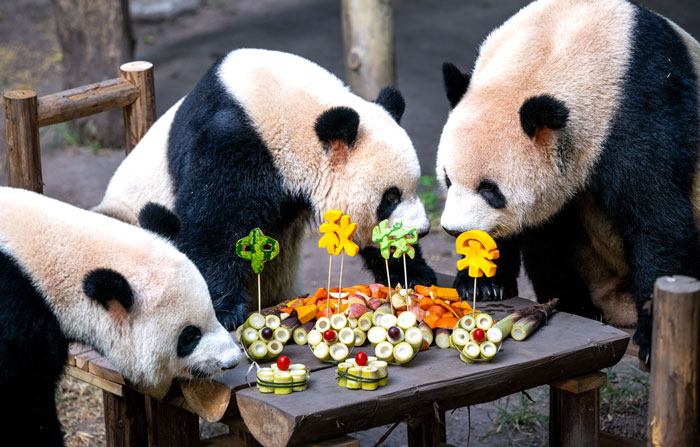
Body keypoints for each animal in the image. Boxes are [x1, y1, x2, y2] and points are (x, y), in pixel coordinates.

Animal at [95, 49, 434, 330]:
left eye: (414, 188)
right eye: (389, 198)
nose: (421, 231)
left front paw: (415, 274)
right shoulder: (234, 140)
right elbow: (212, 224)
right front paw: (224, 310)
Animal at [438, 0, 700, 366]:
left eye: (489, 189)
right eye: (448, 178)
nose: (455, 230)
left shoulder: (642, 108)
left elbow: (657, 219)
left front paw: (652, 340)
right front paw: (485, 283)